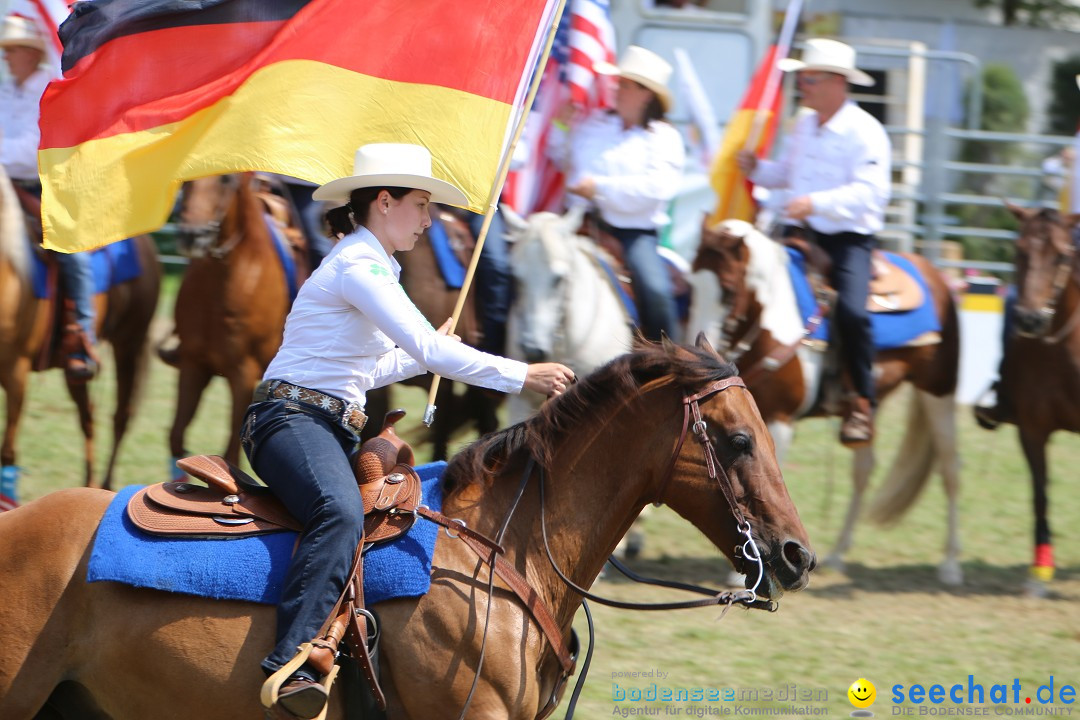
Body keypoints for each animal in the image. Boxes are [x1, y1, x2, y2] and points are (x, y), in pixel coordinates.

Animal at [0, 166, 162, 492]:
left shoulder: (15, 371)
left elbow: (7, 452)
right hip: (74, 368)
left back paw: (108, 485)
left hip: (129, 344)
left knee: (121, 415)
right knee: (88, 417)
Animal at [166, 171, 308, 470]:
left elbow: (230, 453)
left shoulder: (243, 372)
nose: (192, 236)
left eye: (225, 178)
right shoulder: (193, 364)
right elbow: (176, 438)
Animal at [686, 220, 959, 587]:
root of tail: (935, 273)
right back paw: (839, 554)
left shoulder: (779, 418)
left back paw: (950, 564)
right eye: (690, 284)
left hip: (939, 393)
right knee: (863, 470)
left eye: (728, 290)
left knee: (950, 468)